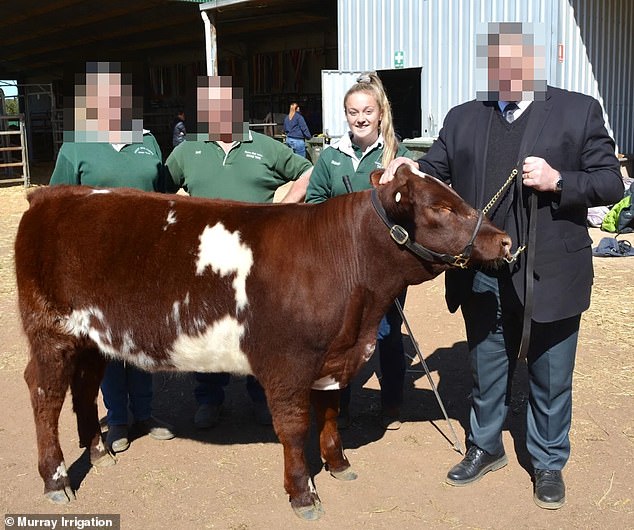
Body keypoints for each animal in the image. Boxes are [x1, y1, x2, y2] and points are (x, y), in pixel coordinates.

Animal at [16, 164, 508, 516]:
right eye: (441, 208)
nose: (503, 241)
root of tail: (49, 194)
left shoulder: (333, 357)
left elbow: (329, 414)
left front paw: (338, 465)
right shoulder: (288, 362)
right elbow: (294, 427)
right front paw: (303, 494)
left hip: (90, 338)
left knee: (84, 387)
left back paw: (99, 452)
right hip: (50, 333)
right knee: (44, 394)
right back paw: (57, 480)